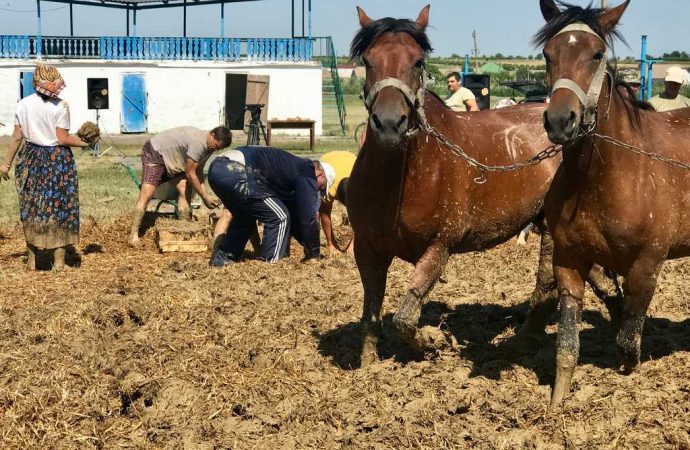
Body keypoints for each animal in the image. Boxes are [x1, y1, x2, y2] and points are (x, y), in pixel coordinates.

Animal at [346, 5, 616, 368]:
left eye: (417, 61)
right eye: (368, 60)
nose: (389, 124)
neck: (403, 178)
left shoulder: (439, 247)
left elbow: (405, 317)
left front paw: (435, 341)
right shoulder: (367, 248)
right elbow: (371, 312)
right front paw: (368, 365)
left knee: (548, 280)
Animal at [540, 0, 690, 408]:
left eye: (596, 53)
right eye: (548, 54)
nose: (560, 120)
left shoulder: (647, 265)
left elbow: (627, 342)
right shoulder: (568, 262)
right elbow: (566, 346)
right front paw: (555, 406)